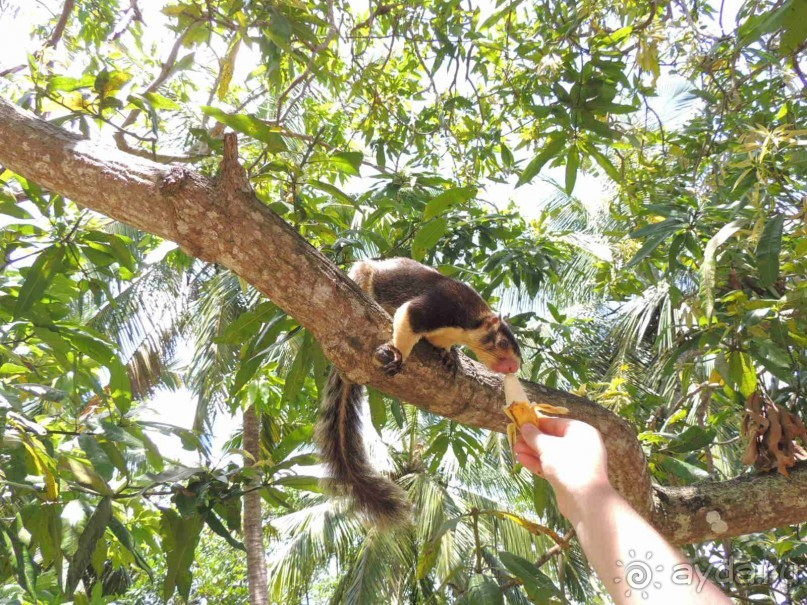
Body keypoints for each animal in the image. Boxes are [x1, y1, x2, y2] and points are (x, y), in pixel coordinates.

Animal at [316, 258, 524, 528]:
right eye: (502, 343)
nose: (513, 367)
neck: (469, 324)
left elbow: (440, 344)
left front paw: (450, 356)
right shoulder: (441, 307)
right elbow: (408, 317)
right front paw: (398, 354)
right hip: (364, 273)